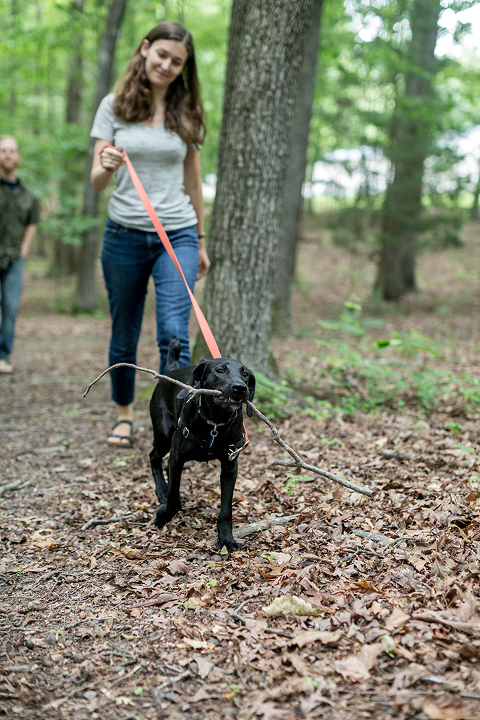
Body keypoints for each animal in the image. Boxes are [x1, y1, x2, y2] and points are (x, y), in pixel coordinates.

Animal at [149, 338, 255, 552]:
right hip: (163, 436)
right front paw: (163, 516)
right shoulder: (177, 457)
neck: (215, 423)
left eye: (245, 374)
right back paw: (162, 490)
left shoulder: (230, 466)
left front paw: (226, 538)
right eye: (220, 370)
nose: (240, 387)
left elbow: (226, 510)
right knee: (153, 458)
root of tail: (171, 370)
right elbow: (174, 500)